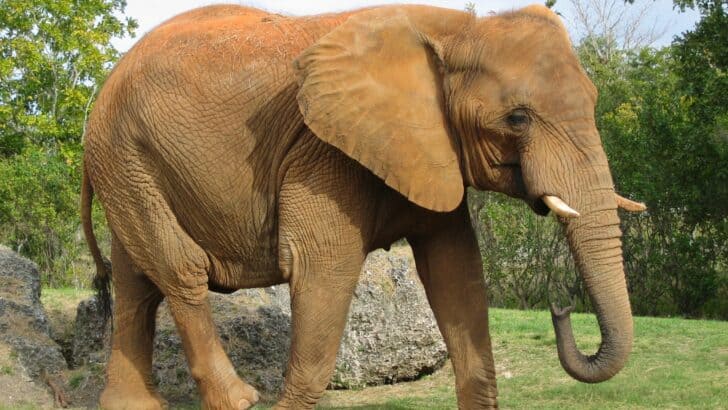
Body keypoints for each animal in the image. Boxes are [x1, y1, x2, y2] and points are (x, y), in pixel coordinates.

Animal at [81, 3, 647, 409]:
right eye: (518, 119)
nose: (561, 307)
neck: (459, 29)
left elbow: (456, 271)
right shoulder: (325, 151)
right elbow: (321, 268)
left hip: (129, 163)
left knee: (137, 284)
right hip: (125, 154)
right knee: (180, 271)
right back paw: (239, 400)